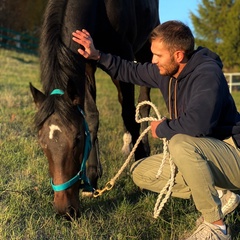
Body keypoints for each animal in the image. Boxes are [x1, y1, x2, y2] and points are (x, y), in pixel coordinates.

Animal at [29, 0, 159, 218]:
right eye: (41, 142)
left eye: (77, 139)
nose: (66, 211)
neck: (102, 9)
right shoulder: (87, 65)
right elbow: (91, 117)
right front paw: (92, 177)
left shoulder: (123, 57)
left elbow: (128, 114)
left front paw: (139, 165)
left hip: (146, 54)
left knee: (142, 105)